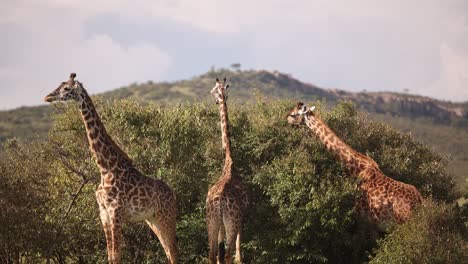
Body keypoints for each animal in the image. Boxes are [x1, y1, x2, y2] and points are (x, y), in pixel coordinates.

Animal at [44, 72, 179, 264]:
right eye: (59, 85)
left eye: (66, 88)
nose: (48, 97)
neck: (105, 168)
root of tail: (173, 194)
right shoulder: (104, 214)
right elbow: (110, 256)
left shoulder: (116, 212)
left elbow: (116, 256)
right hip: (152, 219)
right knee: (168, 250)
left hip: (166, 216)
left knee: (174, 252)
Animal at [288, 102, 422, 225]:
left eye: (294, 114)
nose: (286, 119)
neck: (355, 169)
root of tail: (420, 202)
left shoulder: (361, 214)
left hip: (402, 222)